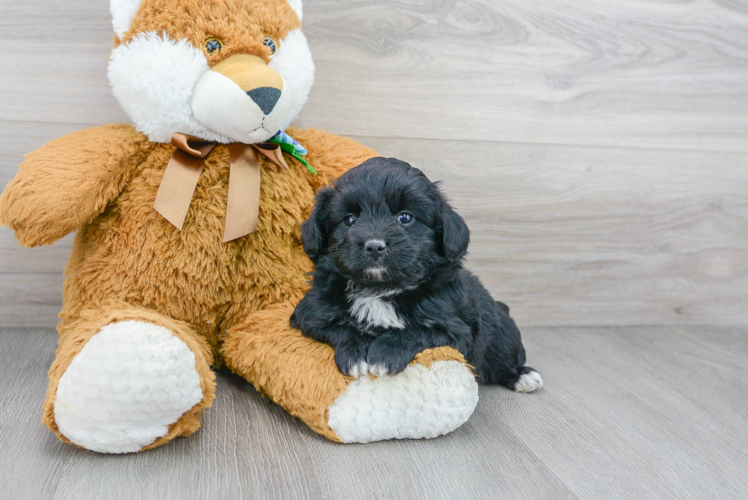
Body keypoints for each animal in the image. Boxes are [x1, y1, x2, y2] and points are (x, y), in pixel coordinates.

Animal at [292, 158, 544, 392]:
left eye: (405, 218)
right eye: (349, 220)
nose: (374, 246)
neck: (380, 289)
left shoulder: (457, 329)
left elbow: (419, 330)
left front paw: (385, 353)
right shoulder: (311, 313)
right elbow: (339, 327)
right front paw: (356, 353)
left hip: (504, 336)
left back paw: (522, 376)